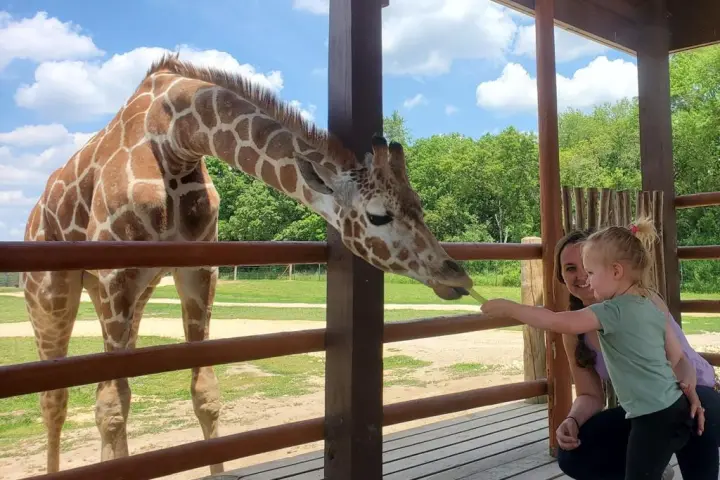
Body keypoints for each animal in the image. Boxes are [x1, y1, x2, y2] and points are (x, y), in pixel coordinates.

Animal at [21, 53, 474, 475]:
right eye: (379, 215)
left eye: (419, 205)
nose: (458, 276)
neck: (175, 137)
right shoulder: (116, 273)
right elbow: (110, 408)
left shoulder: (198, 270)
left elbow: (204, 393)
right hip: (52, 295)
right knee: (55, 398)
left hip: (134, 293)